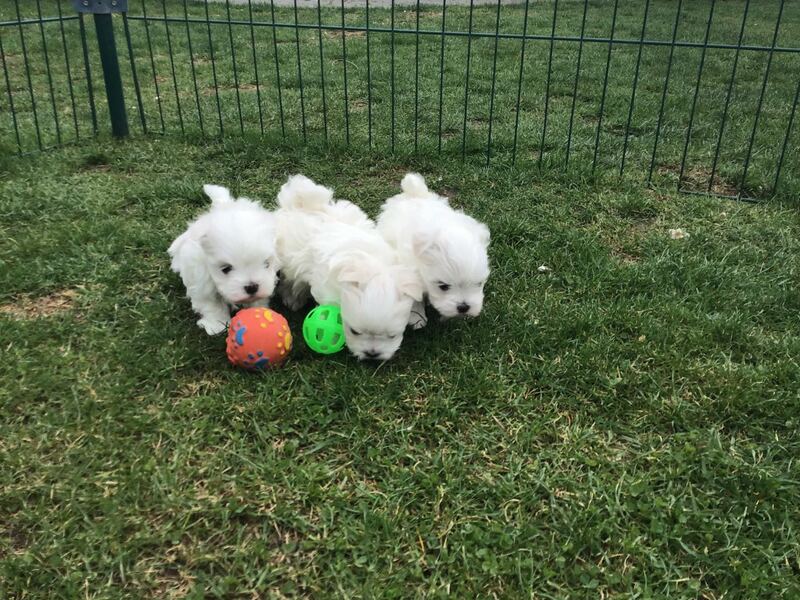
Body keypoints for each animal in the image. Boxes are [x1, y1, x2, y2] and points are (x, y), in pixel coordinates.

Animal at [168, 184, 280, 335]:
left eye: (266, 264)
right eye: (225, 269)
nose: (252, 287)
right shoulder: (201, 280)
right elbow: (211, 304)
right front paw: (217, 325)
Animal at [275, 175, 422, 361]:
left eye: (392, 336)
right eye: (354, 332)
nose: (372, 354)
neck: (371, 268)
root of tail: (302, 204)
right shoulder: (326, 290)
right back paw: (293, 298)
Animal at [377, 173, 490, 329]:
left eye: (479, 284)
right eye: (443, 286)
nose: (463, 307)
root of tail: (415, 193)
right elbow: (413, 297)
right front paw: (417, 318)